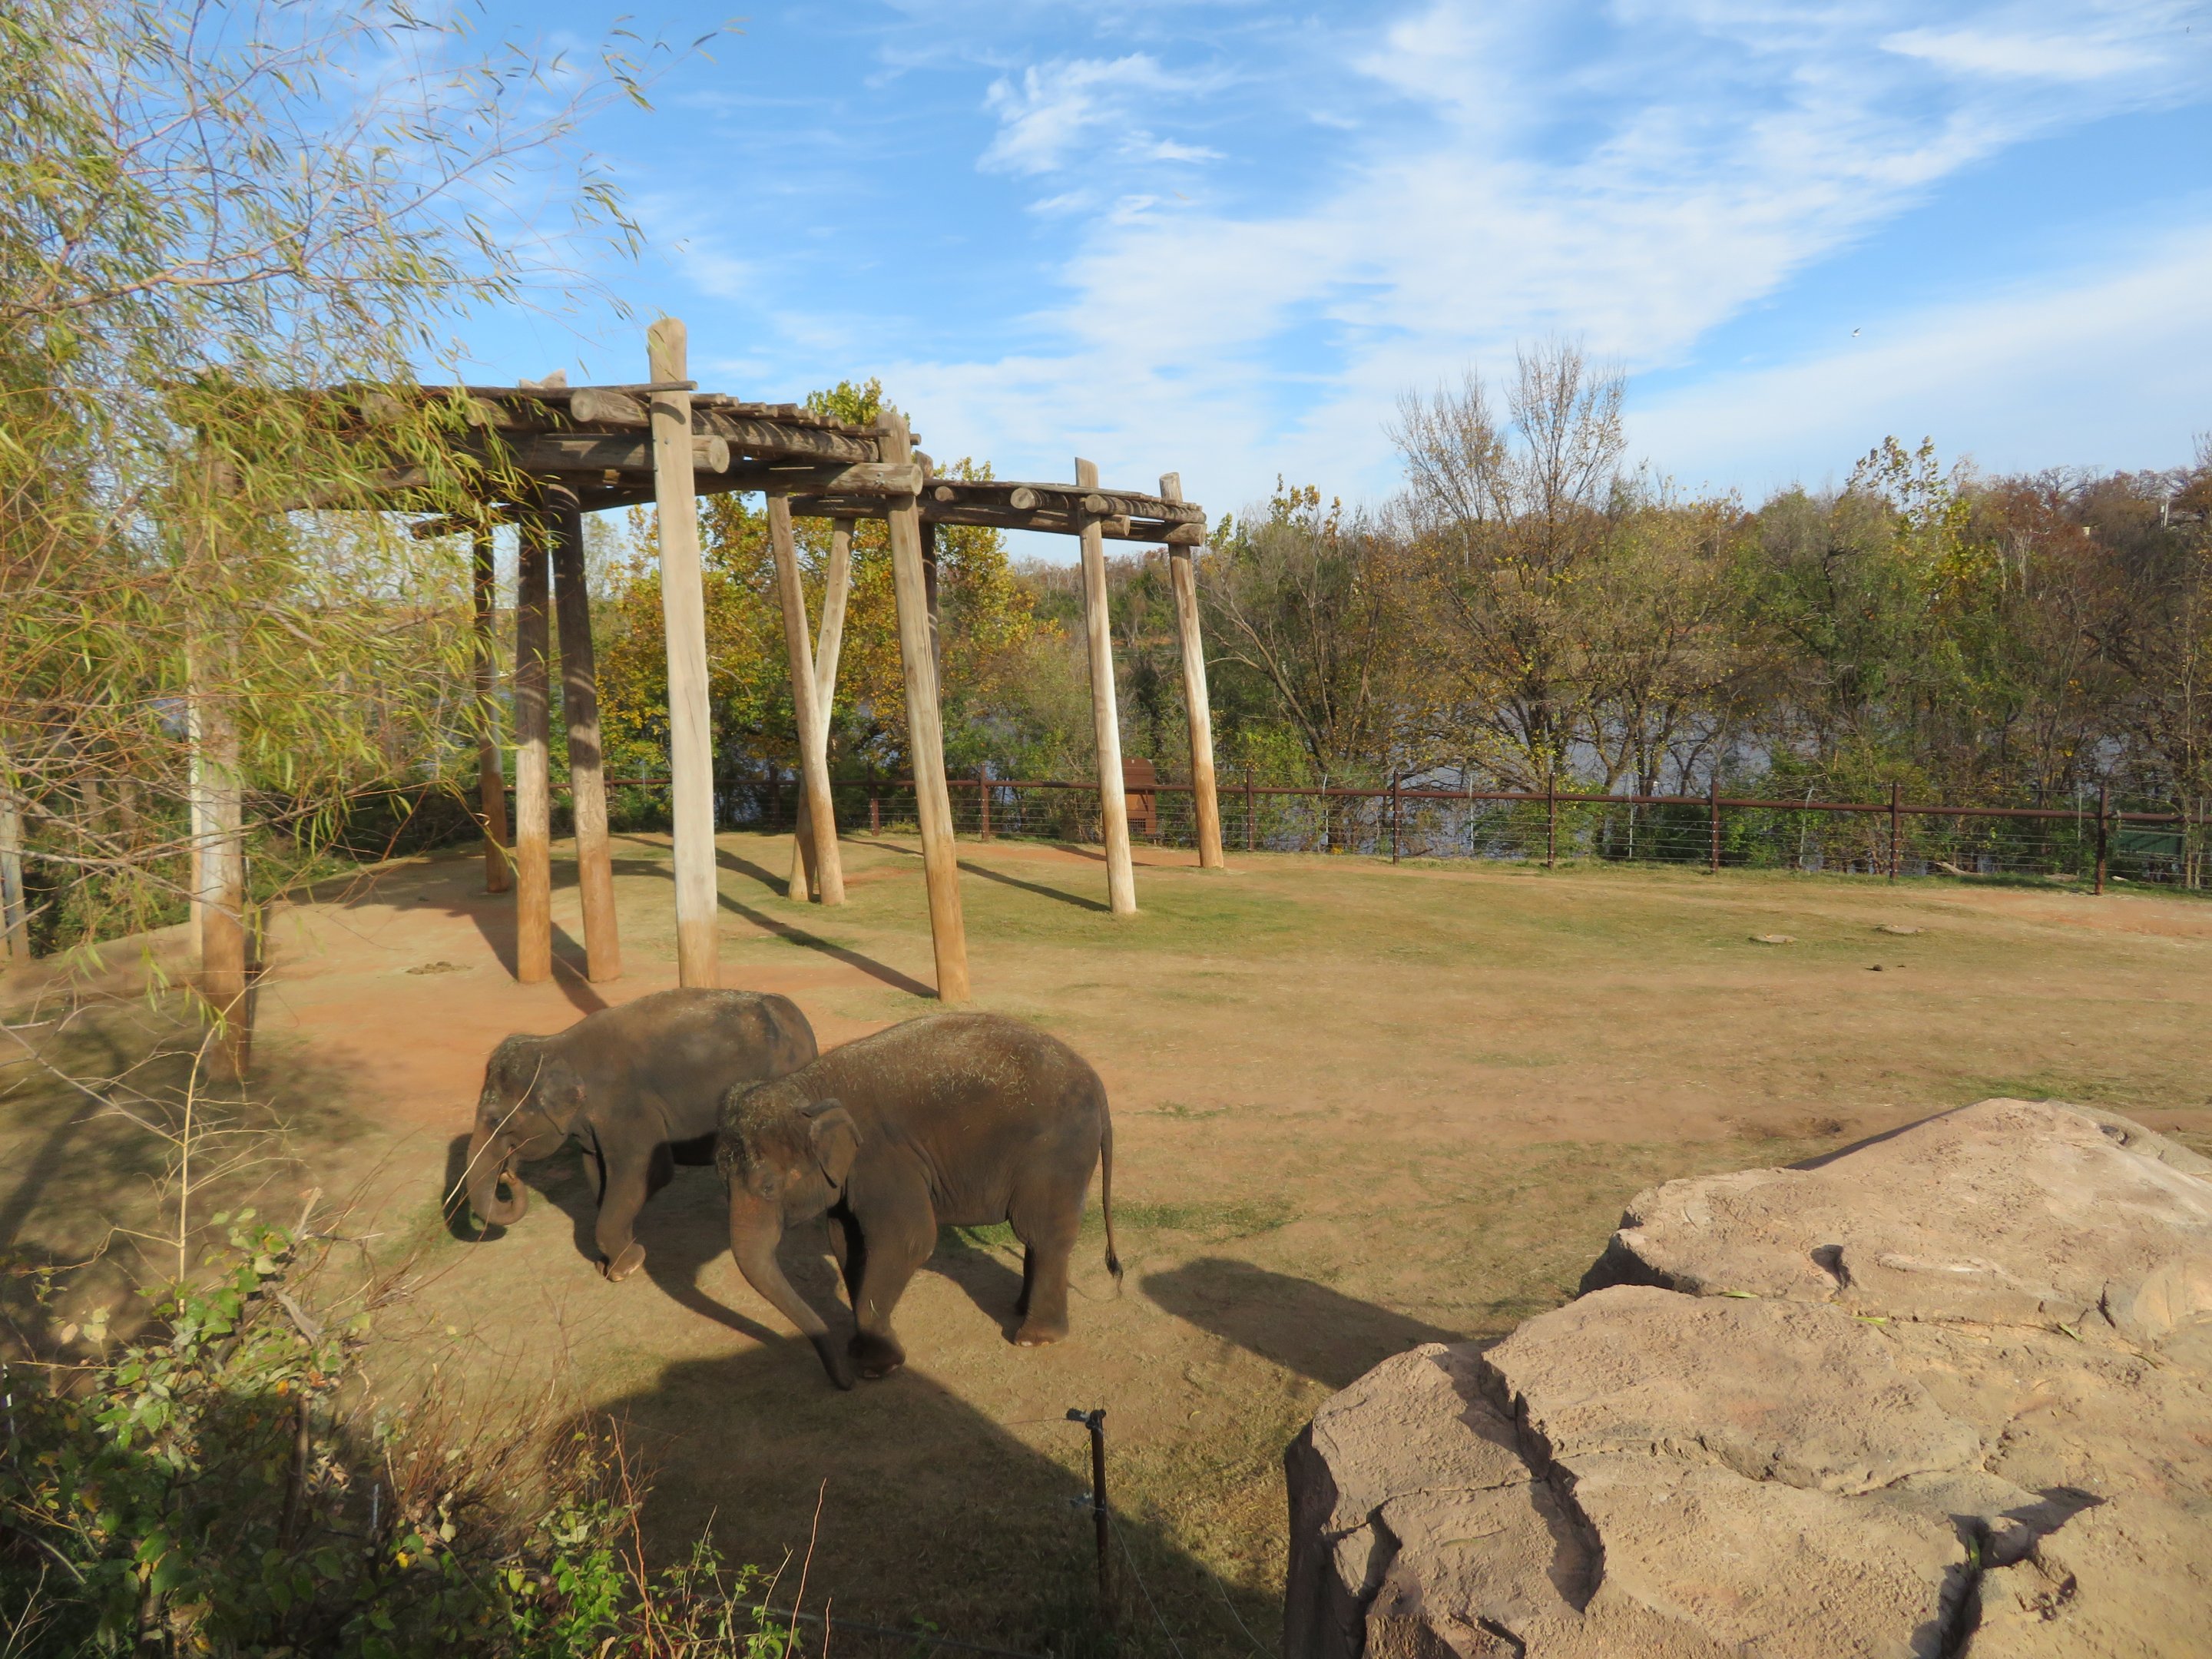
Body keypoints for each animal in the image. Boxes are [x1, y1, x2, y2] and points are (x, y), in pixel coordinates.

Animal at [462, 987, 817, 1280]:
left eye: (494, 1119)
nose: (508, 1174)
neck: (556, 1044)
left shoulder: (628, 1109)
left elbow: (646, 1172)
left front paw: (625, 1270)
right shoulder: (593, 1128)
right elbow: (598, 1175)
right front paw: (611, 1261)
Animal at [717, 1011, 1121, 1389]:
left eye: (768, 1187)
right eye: (722, 1180)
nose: (844, 1384)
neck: (810, 1084)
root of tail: (1094, 1079)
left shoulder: (885, 1160)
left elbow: (907, 1242)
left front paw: (877, 1368)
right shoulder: (852, 1179)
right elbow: (846, 1242)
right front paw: (859, 1352)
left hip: (1056, 1152)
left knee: (1040, 1231)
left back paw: (1034, 1339)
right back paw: (1019, 1309)